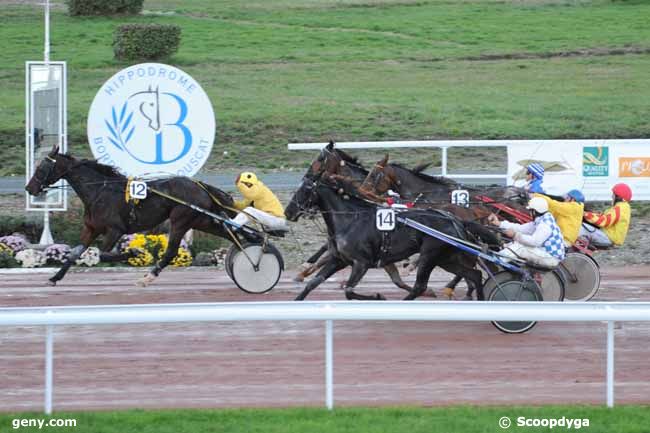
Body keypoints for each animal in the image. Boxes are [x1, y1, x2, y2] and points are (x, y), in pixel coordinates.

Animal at [26, 145, 238, 286]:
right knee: (232, 235)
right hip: (200, 220)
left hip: (180, 220)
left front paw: (133, 253)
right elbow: (74, 253)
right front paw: (54, 278)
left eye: (41, 168)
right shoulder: (91, 229)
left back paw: (148, 276)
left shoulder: (115, 230)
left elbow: (102, 254)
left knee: (170, 251)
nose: (29, 188)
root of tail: (200, 186)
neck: (99, 192)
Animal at [282, 172, 480, 300]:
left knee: (420, 286)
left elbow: (349, 291)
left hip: (429, 255)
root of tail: (454, 220)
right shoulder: (340, 260)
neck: (350, 220)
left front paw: (378, 296)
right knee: (475, 274)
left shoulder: (361, 263)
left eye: (305, 190)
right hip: (445, 258)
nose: (288, 212)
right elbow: (313, 283)